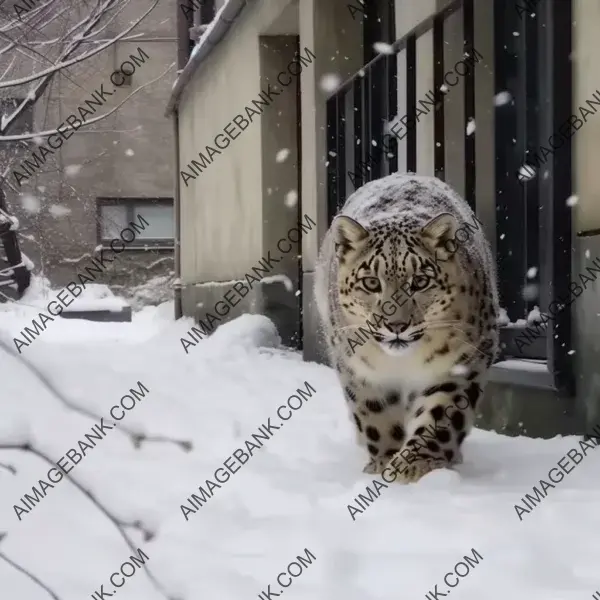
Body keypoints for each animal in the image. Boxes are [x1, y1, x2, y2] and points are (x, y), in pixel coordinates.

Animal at [316, 172, 500, 482]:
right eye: (371, 282)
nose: (397, 325)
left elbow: (440, 413)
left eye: (420, 281)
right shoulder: (359, 371)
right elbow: (375, 415)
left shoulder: (458, 364)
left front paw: (414, 465)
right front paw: (383, 461)